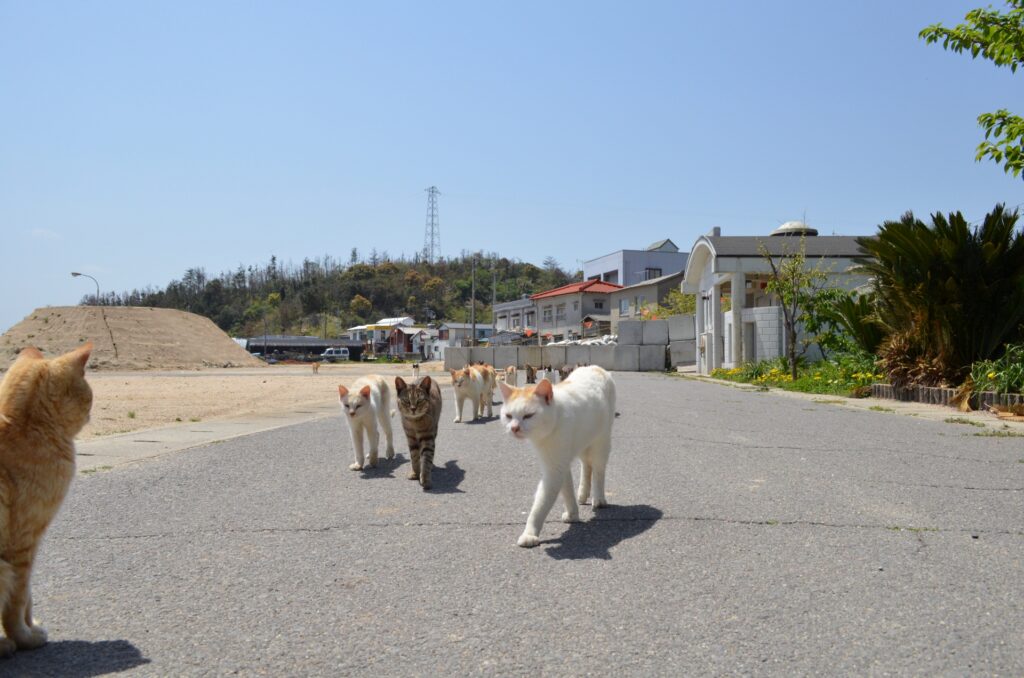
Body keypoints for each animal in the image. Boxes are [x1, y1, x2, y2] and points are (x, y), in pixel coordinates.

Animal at [0, 342, 92, 655]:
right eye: (89, 395)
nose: (91, 412)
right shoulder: (23, 543)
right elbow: (17, 601)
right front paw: (24, 638)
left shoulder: (32, 544)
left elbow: (28, 595)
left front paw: (31, 628)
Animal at [497, 366, 614, 548]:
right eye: (509, 416)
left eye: (528, 416)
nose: (514, 428)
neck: (556, 419)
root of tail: (596, 367)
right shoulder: (560, 462)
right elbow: (567, 490)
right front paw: (573, 514)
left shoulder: (555, 469)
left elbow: (541, 503)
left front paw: (529, 534)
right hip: (583, 443)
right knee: (586, 466)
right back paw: (582, 494)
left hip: (601, 443)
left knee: (598, 470)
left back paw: (599, 498)